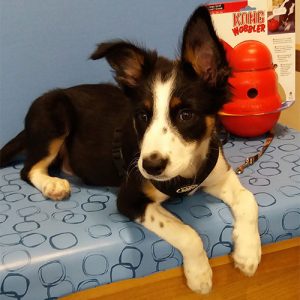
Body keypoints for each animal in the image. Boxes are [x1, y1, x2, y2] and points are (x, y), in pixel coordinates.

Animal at [0, 5, 260, 294]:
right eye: (143, 116)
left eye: (186, 115)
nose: (151, 166)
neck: (187, 172)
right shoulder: (129, 198)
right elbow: (186, 232)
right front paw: (200, 275)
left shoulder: (219, 175)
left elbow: (249, 199)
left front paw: (248, 254)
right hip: (54, 112)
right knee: (28, 169)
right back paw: (52, 184)